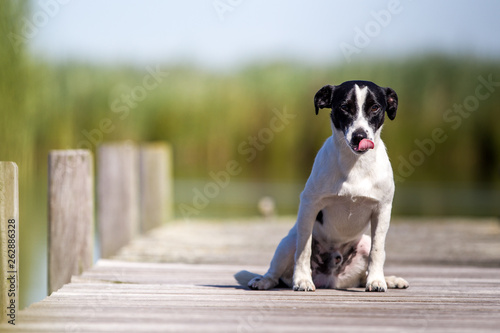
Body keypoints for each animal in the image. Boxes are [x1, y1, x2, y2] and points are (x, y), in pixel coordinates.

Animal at [236, 80, 408, 290]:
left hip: (364, 242)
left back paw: (389, 279)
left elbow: (378, 251)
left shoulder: (382, 210)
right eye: (344, 107)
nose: (359, 136)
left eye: (375, 107)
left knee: (363, 272)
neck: (354, 165)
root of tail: (328, 279)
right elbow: (303, 251)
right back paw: (263, 280)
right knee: (276, 272)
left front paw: (377, 280)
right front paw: (302, 279)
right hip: (287, 243)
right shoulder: (309, 205)